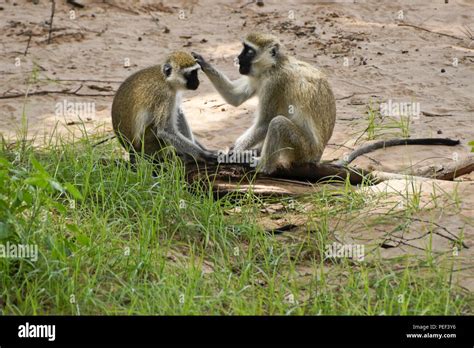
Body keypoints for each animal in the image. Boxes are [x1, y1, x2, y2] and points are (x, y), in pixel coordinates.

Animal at [193, 33, 460, 172]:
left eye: (248, 51)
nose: (238, 59)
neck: (274, 66)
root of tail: (317, 156)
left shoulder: (275, 83)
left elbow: (265, 122)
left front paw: (234, 153)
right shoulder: (259, 77)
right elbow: (236, 98)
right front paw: (201, 60)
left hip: (302, 150)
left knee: (278, 124)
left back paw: (262, 166)